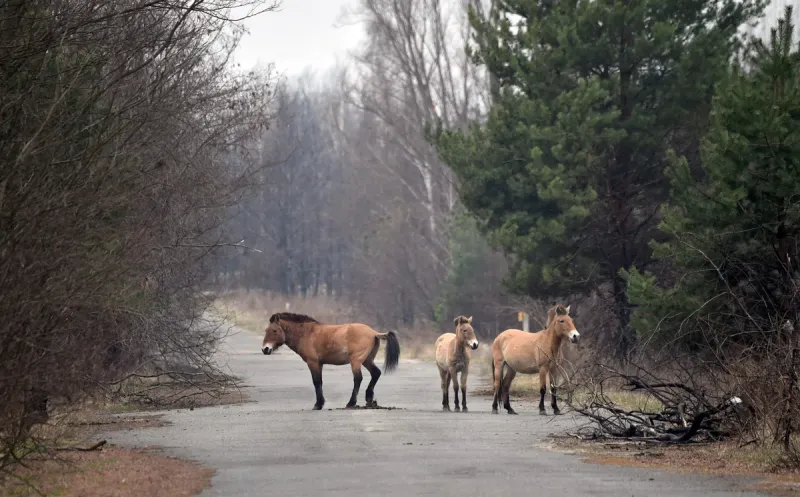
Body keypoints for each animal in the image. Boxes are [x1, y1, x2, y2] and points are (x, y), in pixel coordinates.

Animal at [260, 312, 400, 408]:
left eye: (274, 330)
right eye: (266, 330)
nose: (265, 349)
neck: (307, 333)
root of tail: (374, 332)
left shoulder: (313, 363)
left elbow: (316, 382)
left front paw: (318, 404)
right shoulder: (320, 364)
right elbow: (320, 382)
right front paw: (320, 403)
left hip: (356, 362)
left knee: (358, 379)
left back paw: (351, 403)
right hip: (367, 361)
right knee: (376, 373)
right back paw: (369, 399)